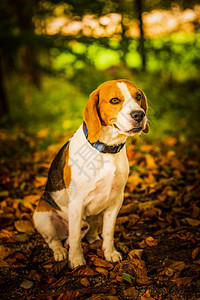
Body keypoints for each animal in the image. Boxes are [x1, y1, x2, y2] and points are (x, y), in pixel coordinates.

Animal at [33, 78, 148, 268]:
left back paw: (94, 239)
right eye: (115, 100)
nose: (139, 114)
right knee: (54, 240)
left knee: (88, 231)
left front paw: (109, 253)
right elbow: (74, 237)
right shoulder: (77, 203)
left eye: (138, 96)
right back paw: (60, 251)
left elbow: (108, 232)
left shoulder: (116, 200)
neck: (106, 149)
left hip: (96, 215)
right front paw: (76, 259)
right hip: (42, 217)